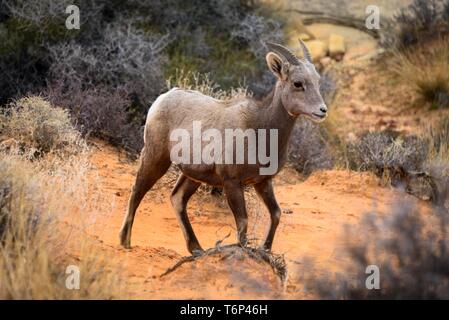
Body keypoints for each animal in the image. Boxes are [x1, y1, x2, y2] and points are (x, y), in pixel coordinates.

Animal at [119, 40, 328, 255]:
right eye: (297, 83)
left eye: (317, 81)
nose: (322, 110)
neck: (259, 129)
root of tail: (164, 97)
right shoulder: (232, 182)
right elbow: (243, 222)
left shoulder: (263, 182)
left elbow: (276, 214)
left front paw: (266, 250)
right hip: (156, 158)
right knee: (138, 190)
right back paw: (125, 241)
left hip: (192, 176)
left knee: (177, 199)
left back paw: (196, 249)